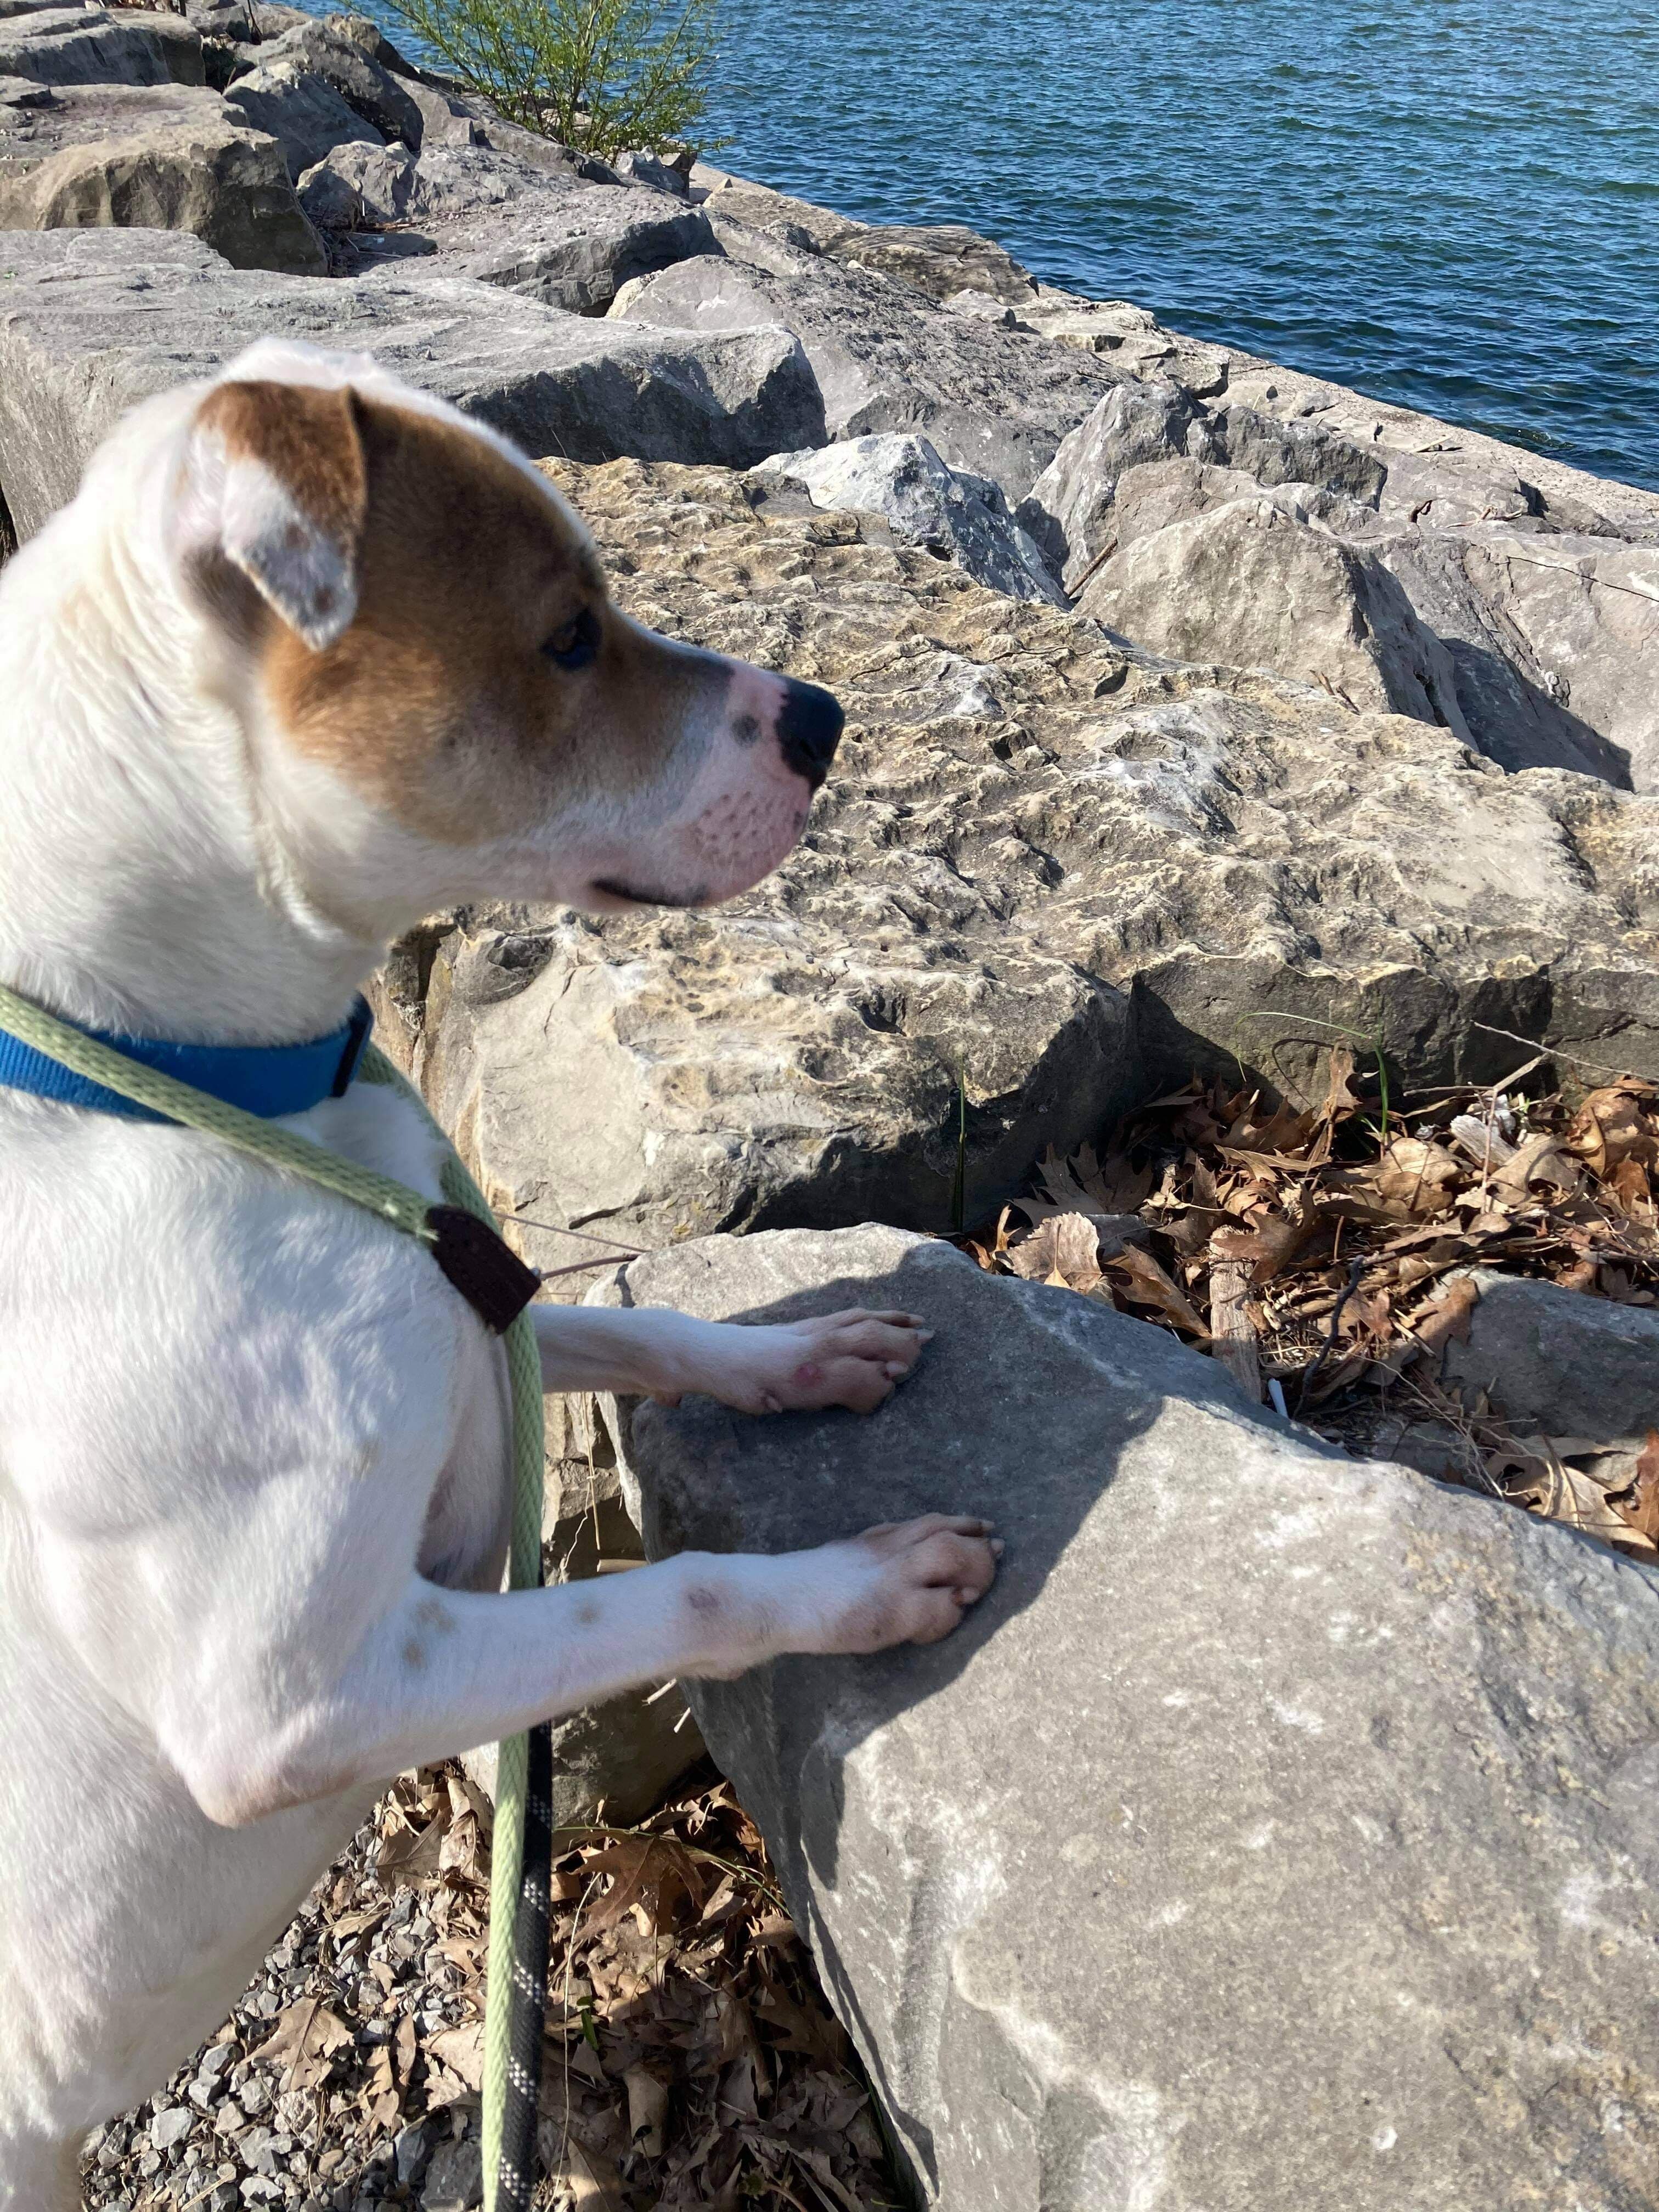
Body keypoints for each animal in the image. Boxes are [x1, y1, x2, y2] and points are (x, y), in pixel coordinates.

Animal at [0, 345, 1000, 2212]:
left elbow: (644, 1319)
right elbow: (679, 1596)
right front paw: (864, 1579)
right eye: (566, 639)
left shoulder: (485, 1296)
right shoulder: (298, 1702)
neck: (204, 1086)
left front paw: (813, 1359)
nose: (824, 718)